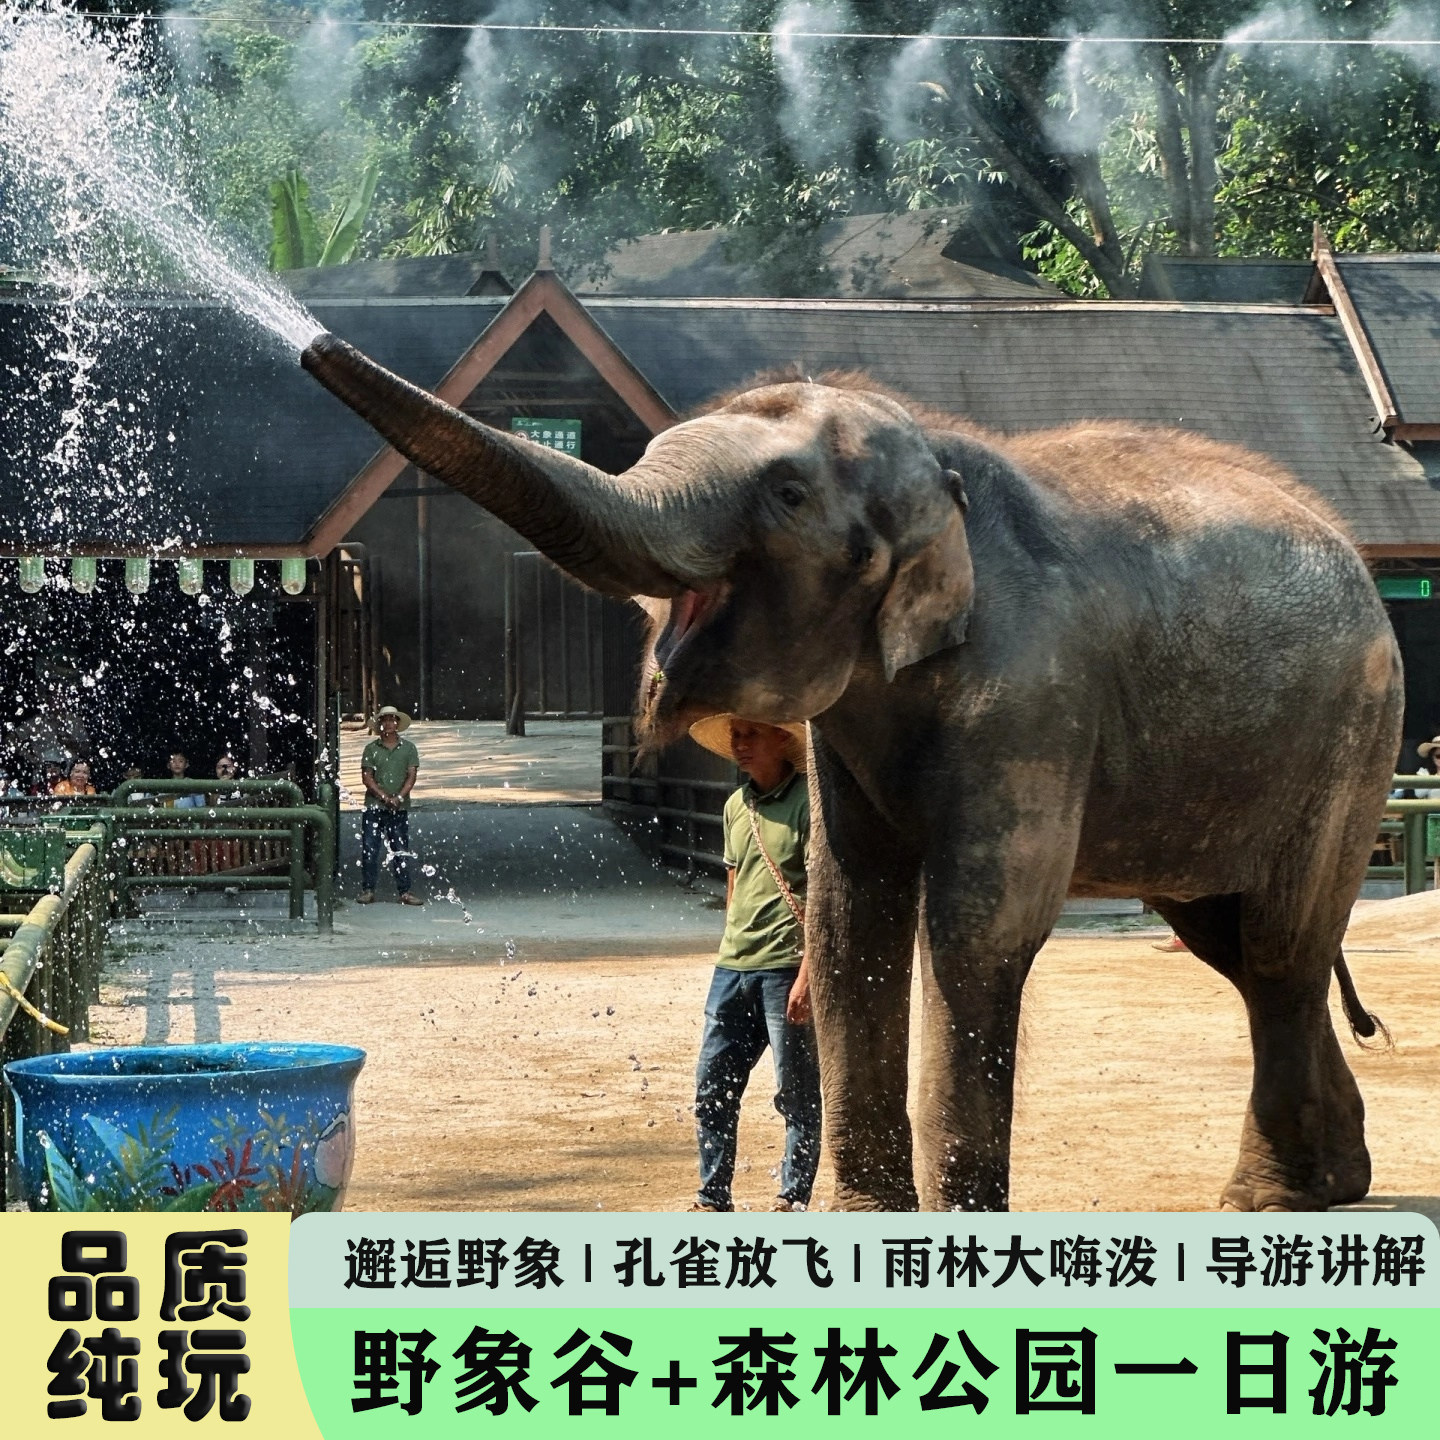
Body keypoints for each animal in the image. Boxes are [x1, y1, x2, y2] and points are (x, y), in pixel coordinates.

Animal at [302, 333, 1401, 1212]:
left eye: (788, 497)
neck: (942, 463)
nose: (311, 344)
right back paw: (1329, 1185)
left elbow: (977, 930)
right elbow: (844, 916)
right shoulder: (849, 735)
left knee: (1277, 949)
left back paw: (1269, 1199)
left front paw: (960, 1232)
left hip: (1352, 743)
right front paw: (868, 1219)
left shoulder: (1038, 696)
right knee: (1238, 947)